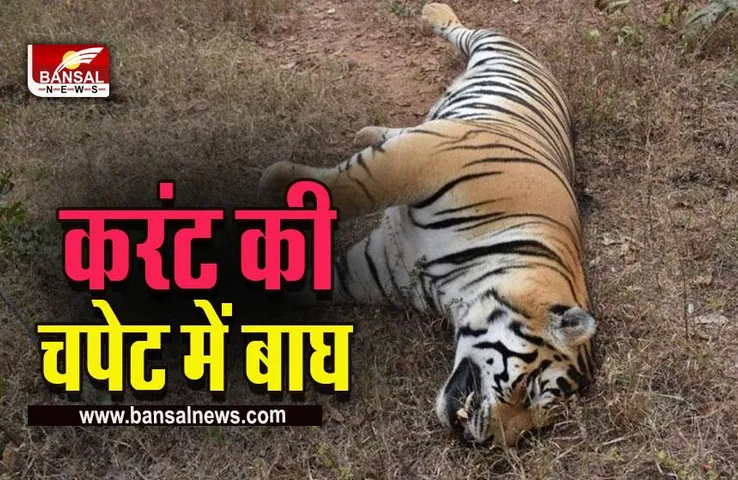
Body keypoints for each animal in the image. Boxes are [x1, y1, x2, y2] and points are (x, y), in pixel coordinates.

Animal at [258, 3, 596, 446]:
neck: (455, 289)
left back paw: (367, 132)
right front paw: (276, 185)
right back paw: (433, 11)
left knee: (398, 130)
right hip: (492, 47)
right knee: (462, 31)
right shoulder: (424, 158)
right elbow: (349, 187)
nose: (486, 442)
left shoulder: (373, 268)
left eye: (535, 426)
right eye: (531, 390)